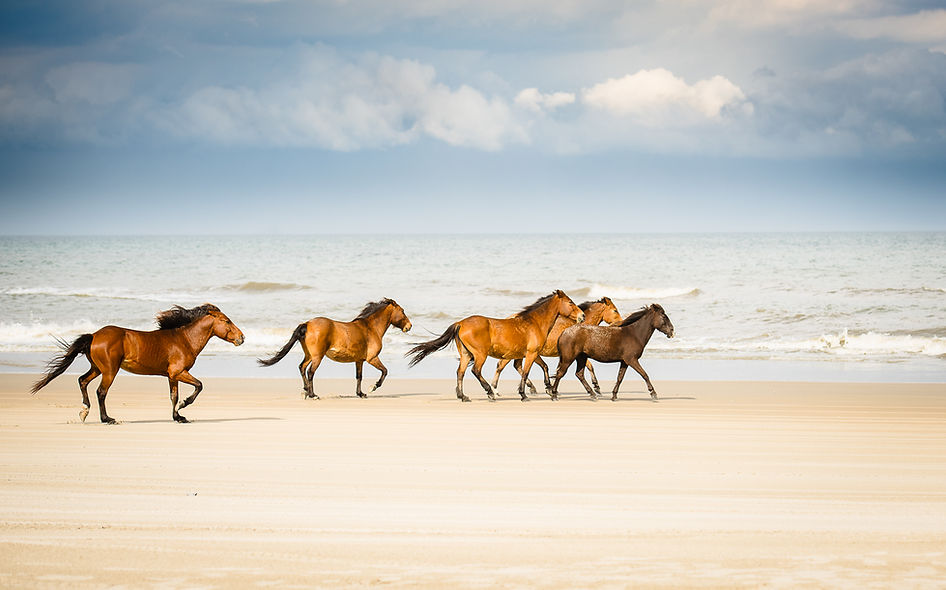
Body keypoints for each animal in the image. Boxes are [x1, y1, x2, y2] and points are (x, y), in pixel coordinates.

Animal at [30, 304, 244, 423]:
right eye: (227, 321)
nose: (242, 338)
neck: (184, 339)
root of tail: (94, 335)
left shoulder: (172, 376)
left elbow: (173, 396)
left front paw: (178, 417)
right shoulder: (179, 372)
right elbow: (198, 386)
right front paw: (184, 406)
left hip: (97, 368)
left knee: (82, 381)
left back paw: (84, 411)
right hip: (109, 371)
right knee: (101, 392)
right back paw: (107, 419)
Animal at [258, 298, 412, 399]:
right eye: (403, 311)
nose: (409, 326)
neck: (370, 328)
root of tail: (307, 324)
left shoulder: (359, 360)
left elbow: (359, 377)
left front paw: (361, 394)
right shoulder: (372, 358)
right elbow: (385, 371)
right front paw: (373, 387)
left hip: (309, 355)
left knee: (302, 367)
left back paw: (306, 391)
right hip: (317, 357)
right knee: (310, 372)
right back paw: (313, 395)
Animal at [406, 290, 584, 402]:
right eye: (570, 302)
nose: (582, 316)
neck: (534, 323)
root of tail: (460, 323)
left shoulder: (529, 354)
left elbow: (542, 367)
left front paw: (546, 388)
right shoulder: (531, 353)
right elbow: (527, 372)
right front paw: (524, 395)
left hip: (466, 355)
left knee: (460, 372)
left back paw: (464, 397)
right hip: (480, 354)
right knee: (475, 371)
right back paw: (490, 393)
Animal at [490, 297, 622, 396]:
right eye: (615, 310)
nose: (621, 323)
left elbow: (559, 369)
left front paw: (553, 387)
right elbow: (590, 366)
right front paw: (596, 387)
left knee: (517, 366)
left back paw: (531, 388)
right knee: (501, 366)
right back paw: (495, 390)